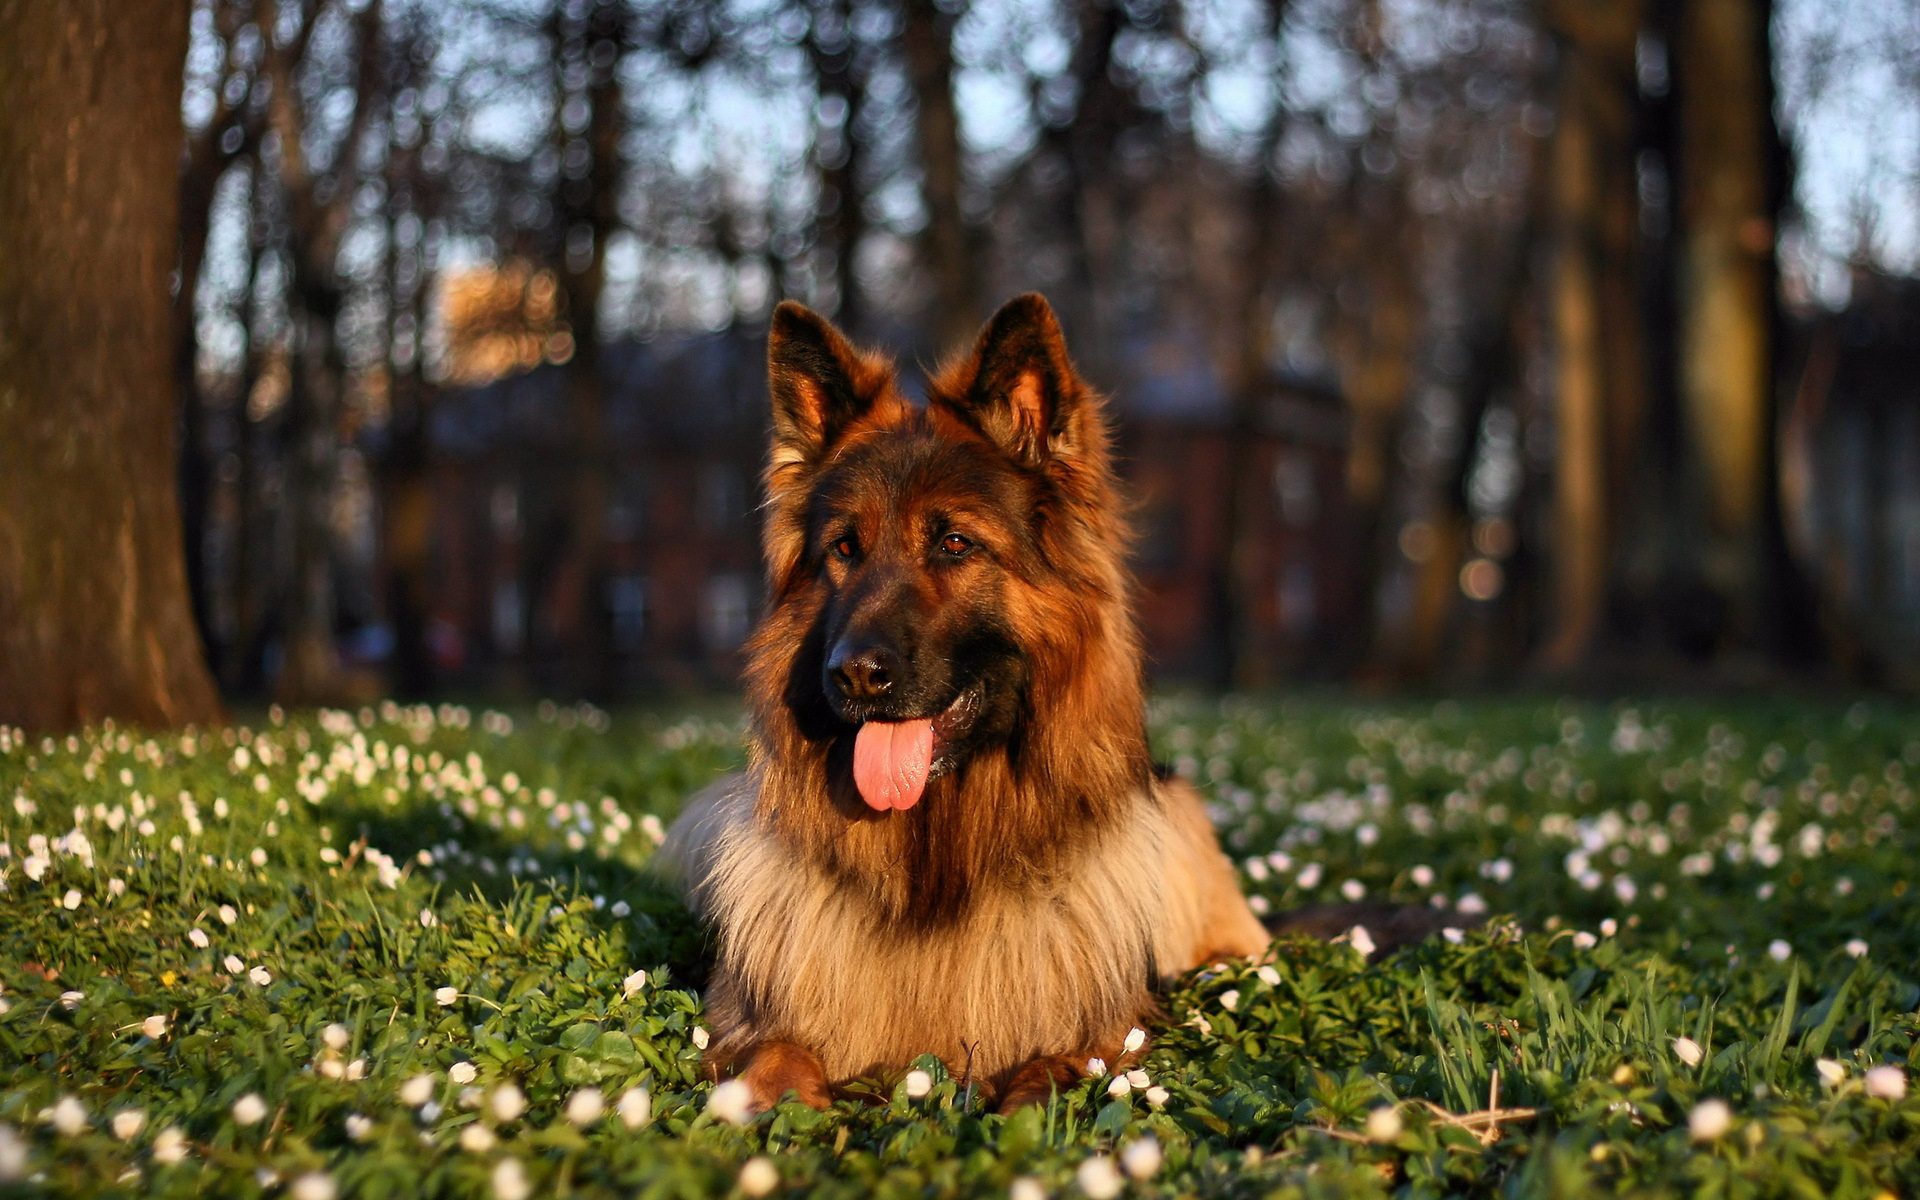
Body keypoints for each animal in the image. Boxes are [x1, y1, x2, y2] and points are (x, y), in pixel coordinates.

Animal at [660, 291, 1274, 1113]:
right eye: (844, 549)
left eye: (954, 544)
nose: (854, 675)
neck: (937, 861)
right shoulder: (750, 1017)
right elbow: (778, 1056)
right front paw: (764, 1107)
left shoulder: (1106, 1035)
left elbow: (1050, 1074)